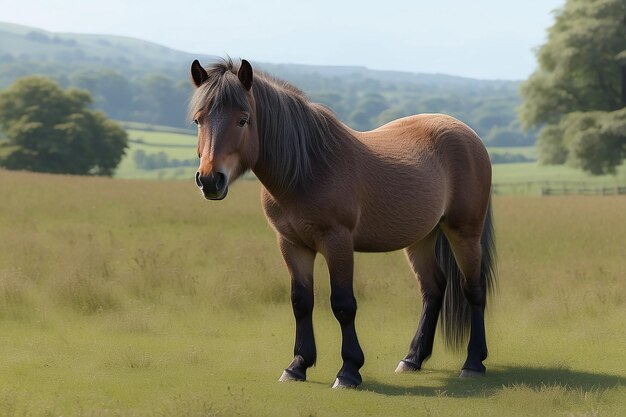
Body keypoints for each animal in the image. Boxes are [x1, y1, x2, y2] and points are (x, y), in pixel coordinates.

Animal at [188, 57, 494, 386]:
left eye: (243, 120)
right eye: (198, 120)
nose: (210, 180)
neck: (307, 169)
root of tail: (468, 134)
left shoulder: (338, 242)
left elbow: (343, 304)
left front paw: (349, 370)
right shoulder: (292, 244)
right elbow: (301, 302)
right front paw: (297, 365)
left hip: (465, 232)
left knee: (474, 289)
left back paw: (473, 362)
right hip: (422, 238)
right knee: (433, 288)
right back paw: (412, 359)